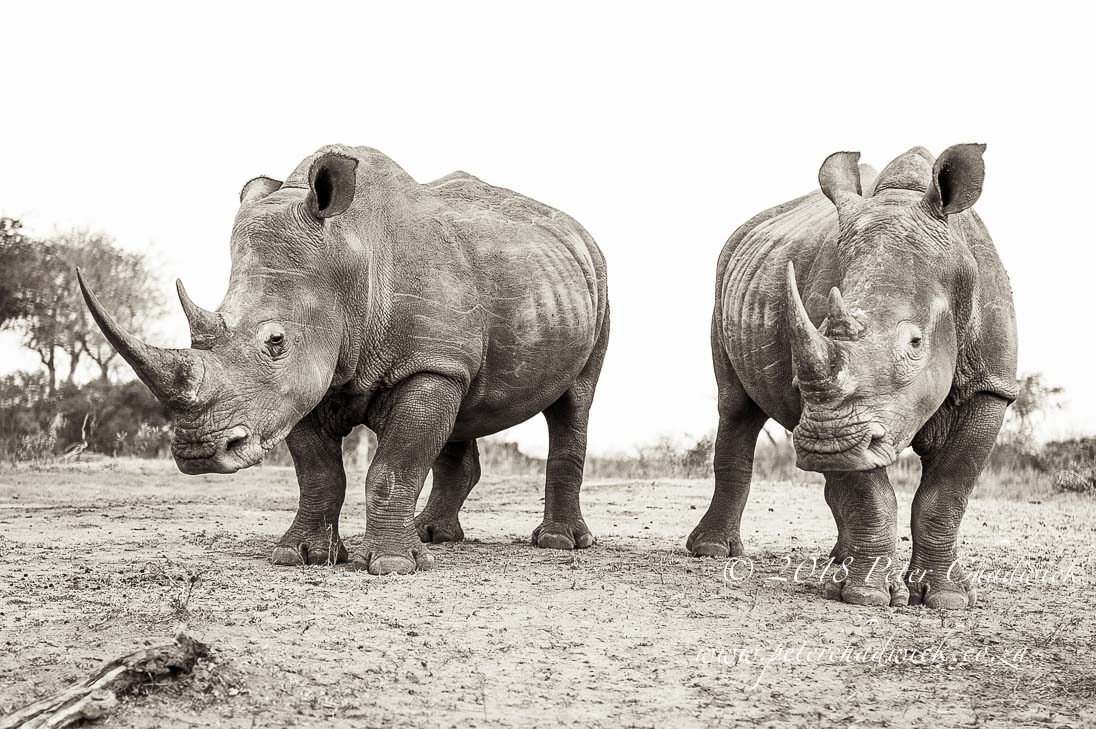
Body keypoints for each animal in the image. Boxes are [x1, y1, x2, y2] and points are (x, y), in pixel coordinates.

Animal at [78, 145, 609, 575]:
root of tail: (576, 231)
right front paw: (299, 555)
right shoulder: (308, 383)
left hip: (597, 280)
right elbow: (319, 474)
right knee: (463, 411)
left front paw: (393, 565)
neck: (347, 263)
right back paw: (435, 536)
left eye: (276, 342)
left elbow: (393, 466)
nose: (198, 451)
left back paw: (558, 543)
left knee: (575, 402)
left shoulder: (424, 363)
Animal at [688, 145, 1017, 609]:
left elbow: (948, 491)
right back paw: (714, 551)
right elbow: (869, 493)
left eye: (915, 343)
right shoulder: (829, 409)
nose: (824, 444)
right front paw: (865, 595)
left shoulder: (991, 386)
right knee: (735, 407)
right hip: (723, 284)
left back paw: (836, 561)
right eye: (821, 328)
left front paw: (947, 599)